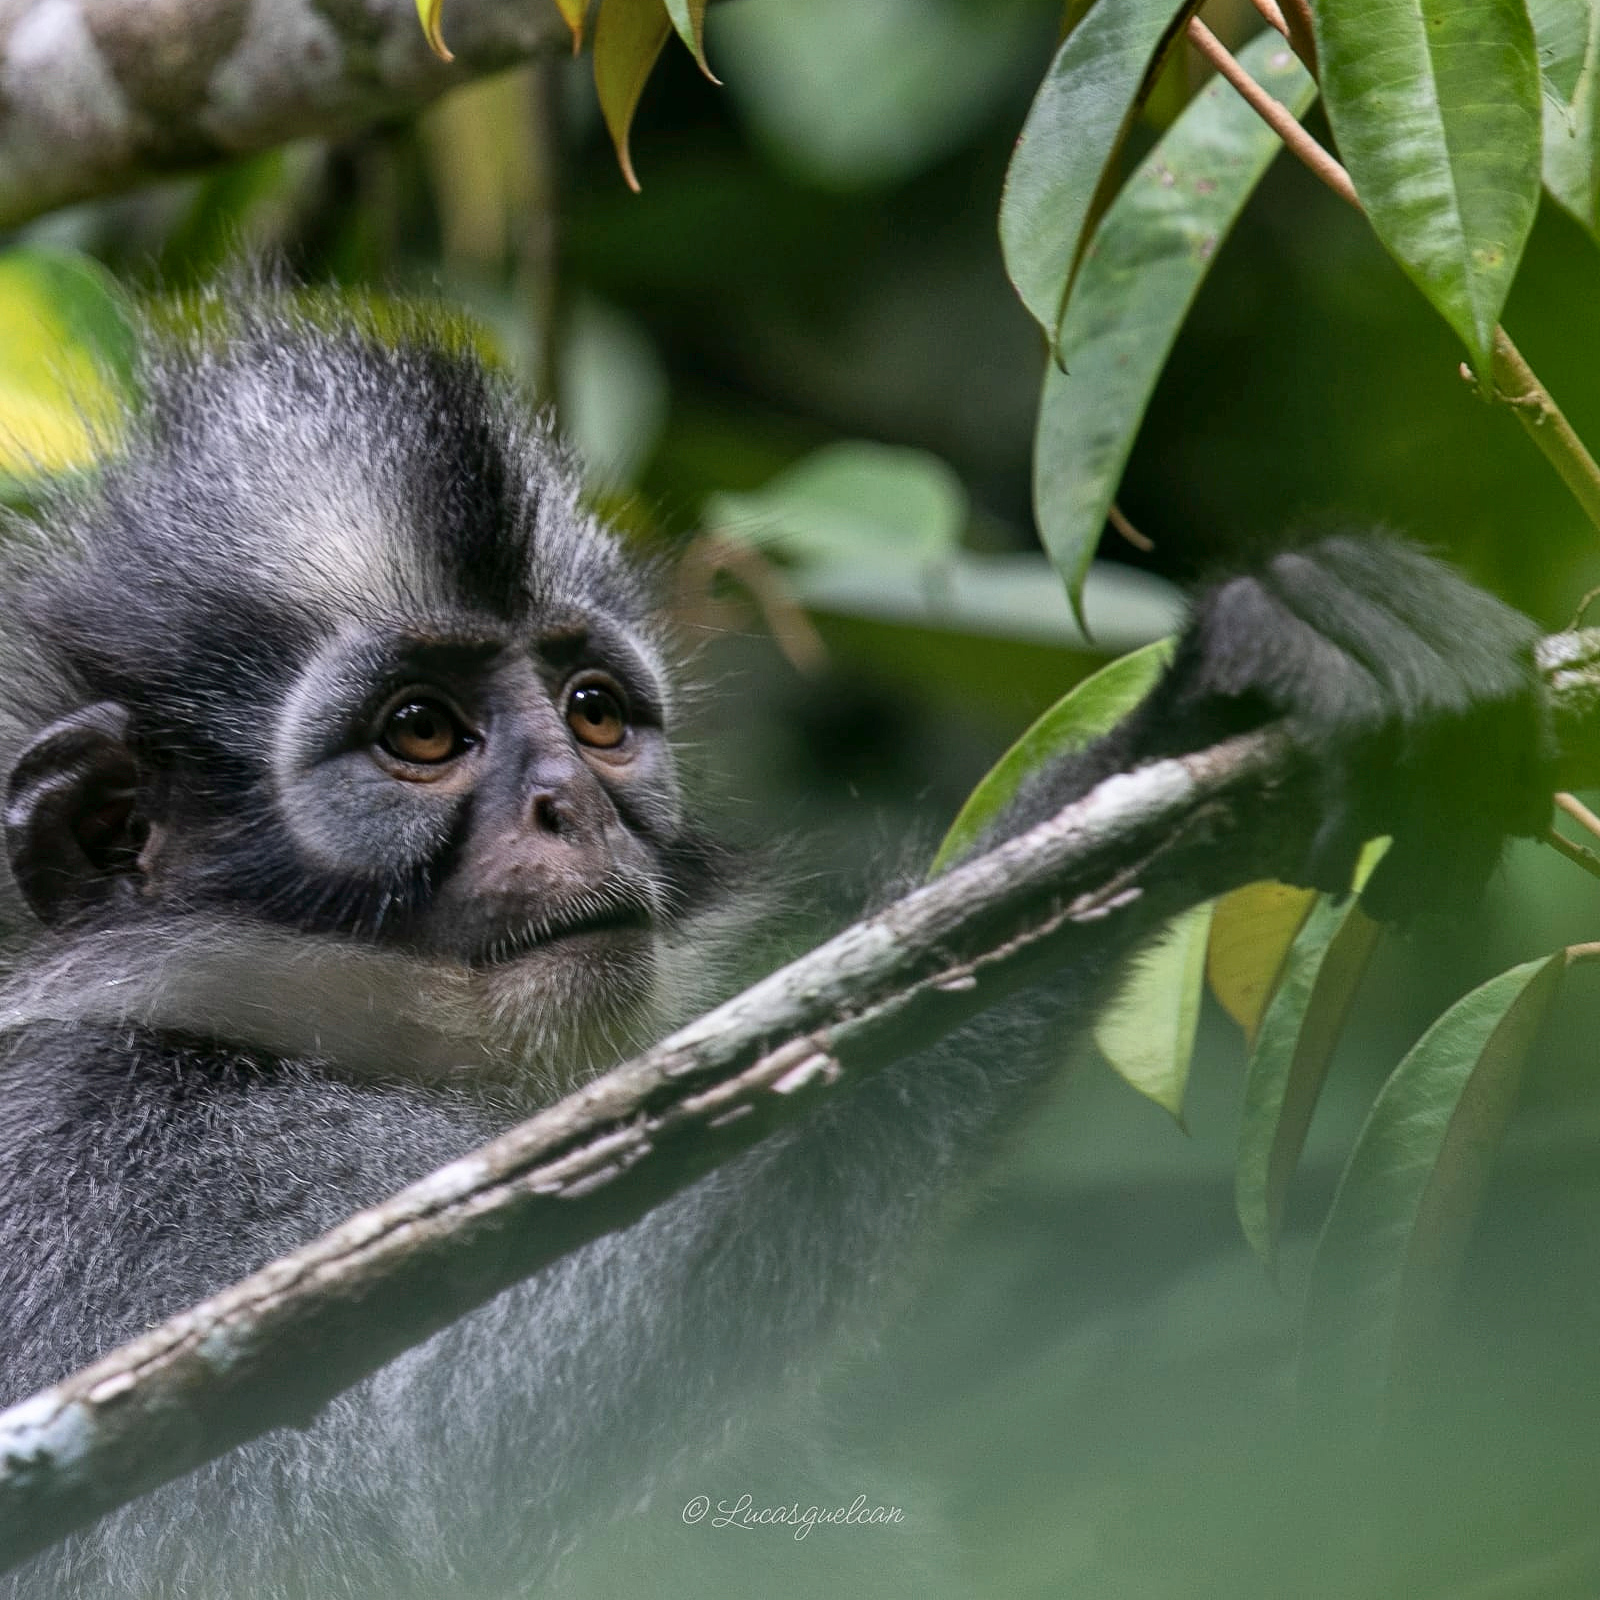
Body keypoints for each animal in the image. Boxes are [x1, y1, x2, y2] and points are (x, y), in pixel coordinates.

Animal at [0, 292, 1550, 1598]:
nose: (569, 801)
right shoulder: (137, 1175)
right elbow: (426, 1455)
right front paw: (1176, 731)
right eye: (421, 735)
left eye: (593, 712)